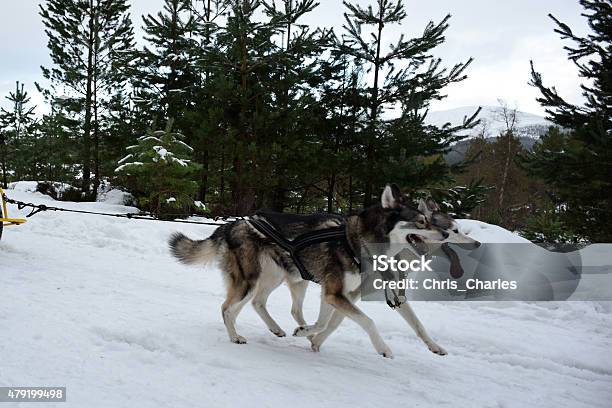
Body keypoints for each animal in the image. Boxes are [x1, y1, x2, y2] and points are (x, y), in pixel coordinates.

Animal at [170, 184, 448, 356]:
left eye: (430, 221)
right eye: (421, 222)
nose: (446, 234)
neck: (357, 242)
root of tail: (232, 224)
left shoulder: (337, 295)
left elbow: (326, 322)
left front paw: (308, 334)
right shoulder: (336, 294)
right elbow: (366, 321)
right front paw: (383, 348)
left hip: (279, 278)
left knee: (260, 304)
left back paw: (279, 328)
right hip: (250, 281)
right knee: (227, 308)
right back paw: (235, 337)